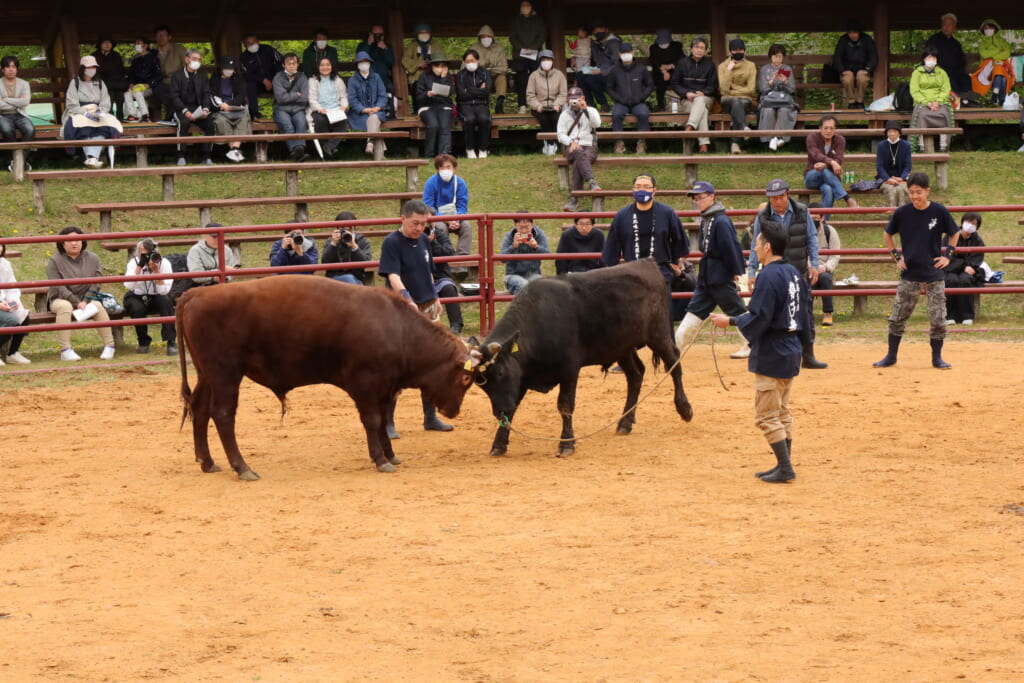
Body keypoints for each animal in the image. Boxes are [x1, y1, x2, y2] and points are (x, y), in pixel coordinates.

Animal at [471, 259, 696, 456]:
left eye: (500, 372)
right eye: (482, 386)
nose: (499, 411)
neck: (539, 319)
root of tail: (647, 263)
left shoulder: (569, 369)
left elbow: (565, 405)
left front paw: (566, 443)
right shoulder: (522, 377)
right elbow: (513, 409)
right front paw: (499, 443)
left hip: (658, 334)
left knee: (674, 363)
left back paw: (684, 408)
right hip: (621, 347)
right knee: (636, 375)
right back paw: (625, 422)